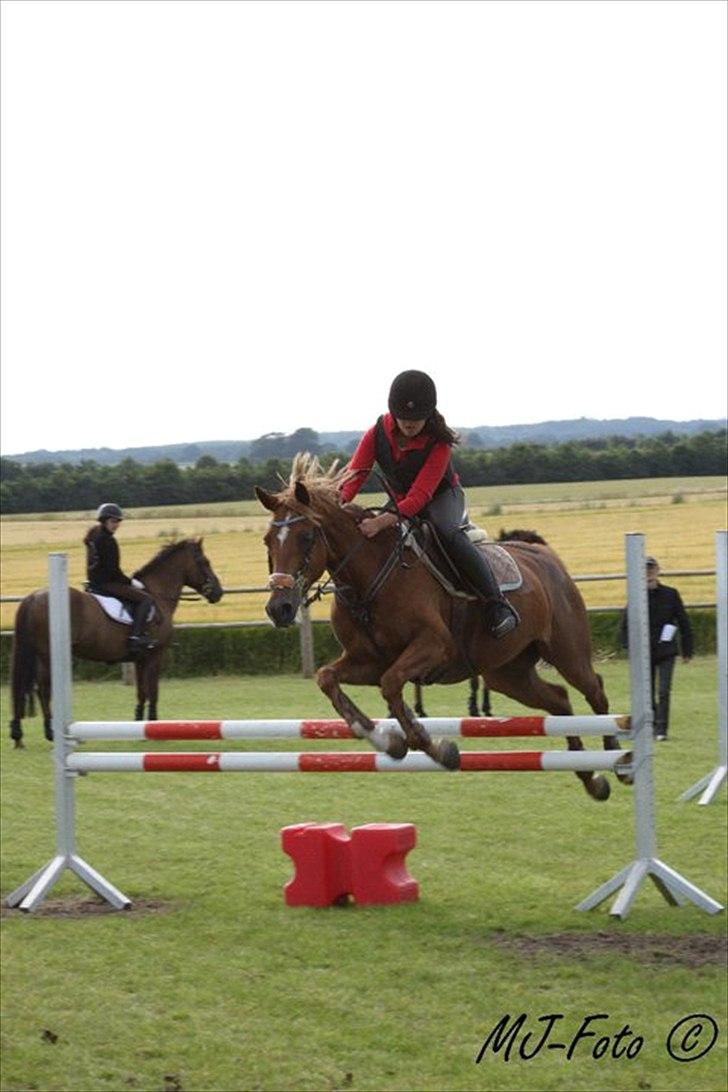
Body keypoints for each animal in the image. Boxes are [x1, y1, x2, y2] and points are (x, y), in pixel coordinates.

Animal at [7, 539, 222, 746]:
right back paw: (50, 732)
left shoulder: (140, 659)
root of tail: (34, 597)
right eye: (205, 562)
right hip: (47, 654)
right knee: (43, 689)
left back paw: (19, 735)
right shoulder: (155, 655)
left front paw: (138, 726)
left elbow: (142, 692)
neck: (157, 595)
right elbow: (153, 691)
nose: (218, 592)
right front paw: (154, 726)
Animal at [255, 452, 619, 803]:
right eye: (267, 540)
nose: (279, 608)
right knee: (559, 700)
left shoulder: (434, 646)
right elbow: (328, 678)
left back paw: (618, 758)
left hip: (567, 651)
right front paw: (385, 739)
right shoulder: (368, 661)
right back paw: (590, 777)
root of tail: (546, 556)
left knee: (595, 690)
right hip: (507, 673)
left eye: (306, 537)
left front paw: (433, 747)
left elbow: (392, 684)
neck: (367, 581)